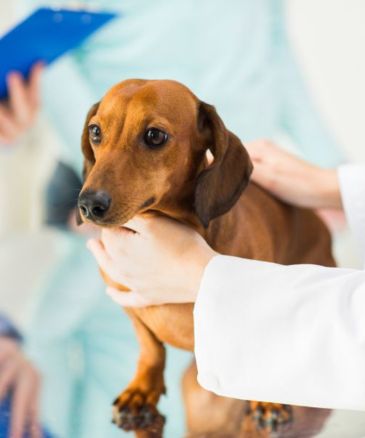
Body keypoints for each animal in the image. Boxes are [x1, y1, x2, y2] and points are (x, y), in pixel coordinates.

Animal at [78, 79, 334, 438]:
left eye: (155, 136)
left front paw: (267, 399)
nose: (89, 205)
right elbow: (150, 347)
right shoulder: (126, 301)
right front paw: (141, 392)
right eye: (95, 131)